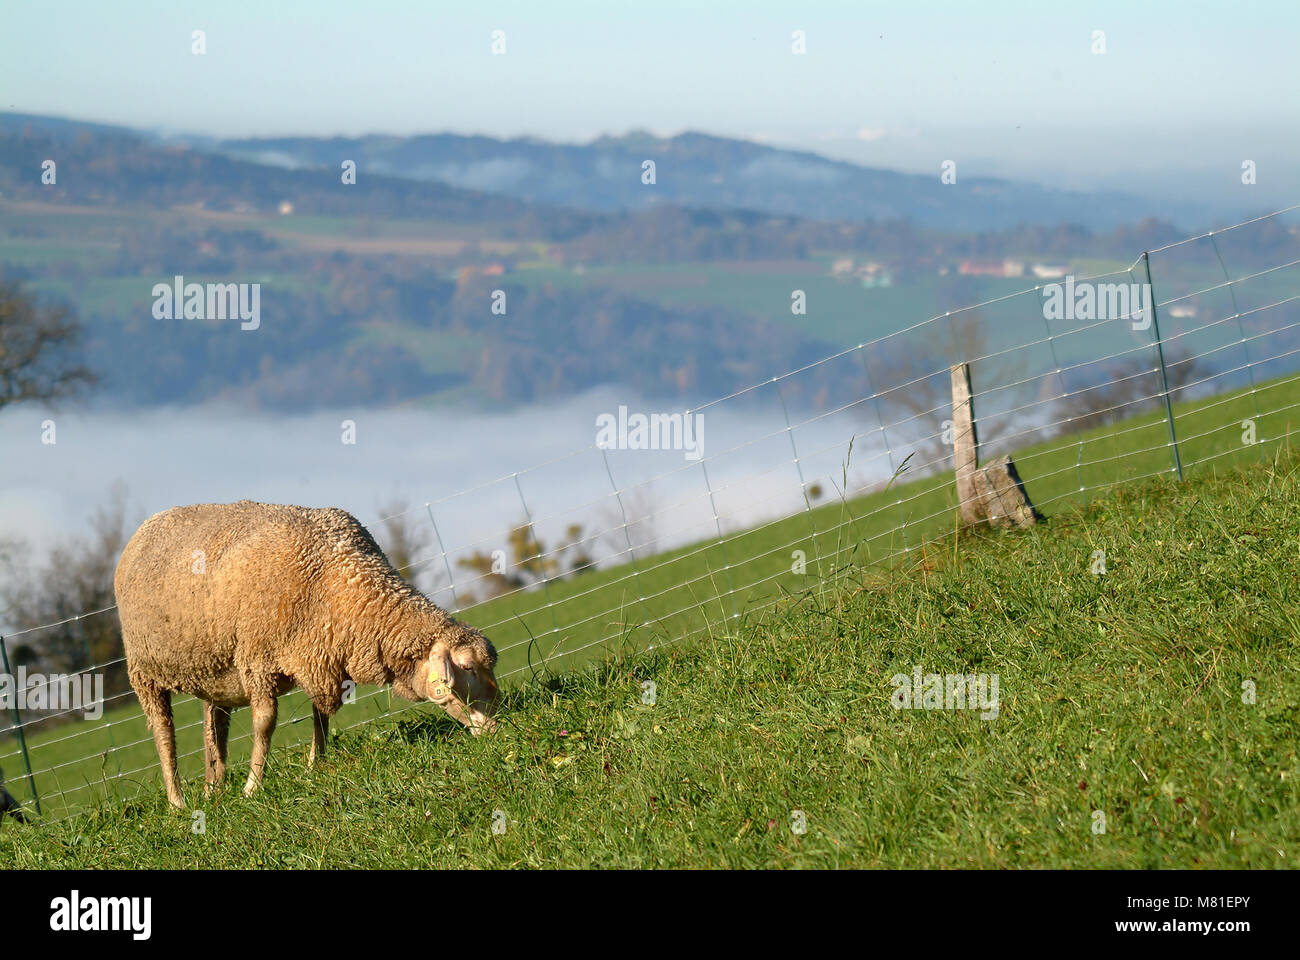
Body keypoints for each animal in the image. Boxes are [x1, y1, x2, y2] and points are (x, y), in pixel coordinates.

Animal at [114, 502, 499, 806]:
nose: (497, 728)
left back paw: (214, 790)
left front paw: (317, 765)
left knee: (214, 729)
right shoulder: (257, 659)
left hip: (214, 670)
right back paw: (177, 802)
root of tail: (148, 524)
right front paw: (253, 787)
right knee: (163, 733)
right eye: (465, 667)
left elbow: (321, 714)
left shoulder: (321, 653)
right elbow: (265, 723)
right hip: (144, 672)